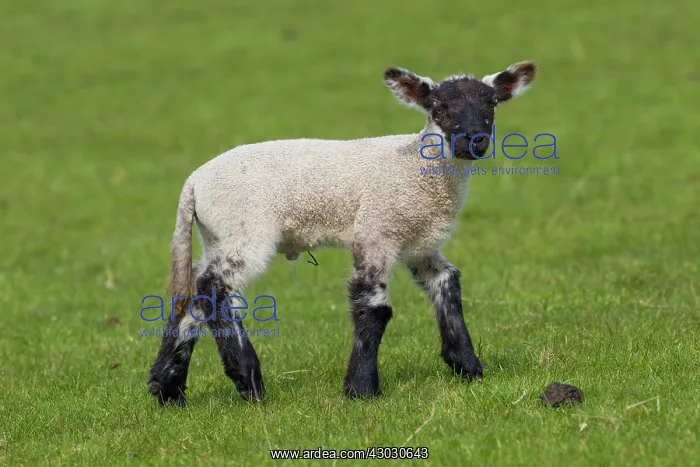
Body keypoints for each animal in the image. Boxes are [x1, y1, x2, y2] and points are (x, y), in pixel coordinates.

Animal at [147, 61, 538, 405]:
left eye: (492, 104)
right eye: (439, 107)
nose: (475, 141)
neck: (418, 167)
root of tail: (193, 184)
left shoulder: (417, 242)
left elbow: (448, 283)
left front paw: (467, 366)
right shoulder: (376, 230)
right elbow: (374, 307)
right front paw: (361, 389)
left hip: (217, 236)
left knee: (193, 293)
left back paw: (167, 387)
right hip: (245, 230)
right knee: (215, 287)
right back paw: (248, 381)